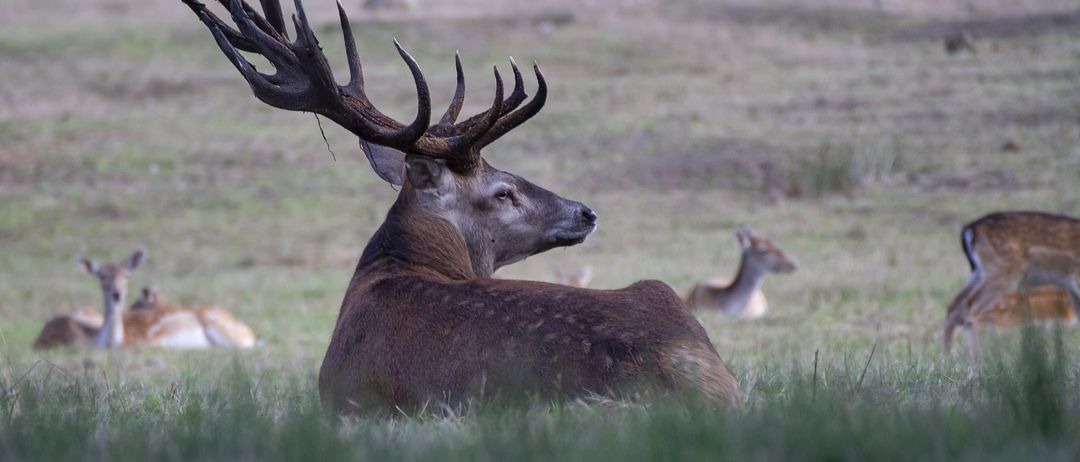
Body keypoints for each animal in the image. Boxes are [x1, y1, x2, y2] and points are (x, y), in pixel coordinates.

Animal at [944, 211, 1080, 356]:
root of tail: (969, 230)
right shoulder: (1076, 279)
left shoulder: (1070, 286)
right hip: (1002, 272)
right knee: (969, 307)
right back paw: (976, 360)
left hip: (980, 273)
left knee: (955, 305)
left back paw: (946, 357)